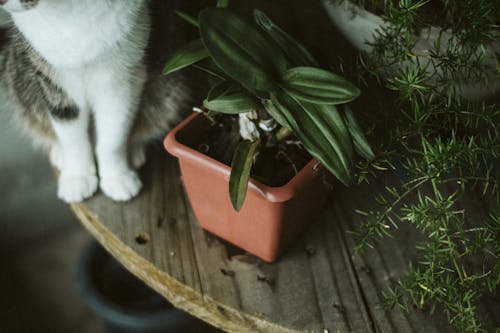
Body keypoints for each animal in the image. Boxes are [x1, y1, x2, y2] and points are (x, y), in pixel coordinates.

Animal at [0, 0, 199, 202]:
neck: (69, 14)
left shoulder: (123, 79)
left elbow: (114, 134)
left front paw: (117, 176)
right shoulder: (54, 79)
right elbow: (71, 134)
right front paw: (77, 176)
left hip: (169, 85)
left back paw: (134, 149)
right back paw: (59, 152)